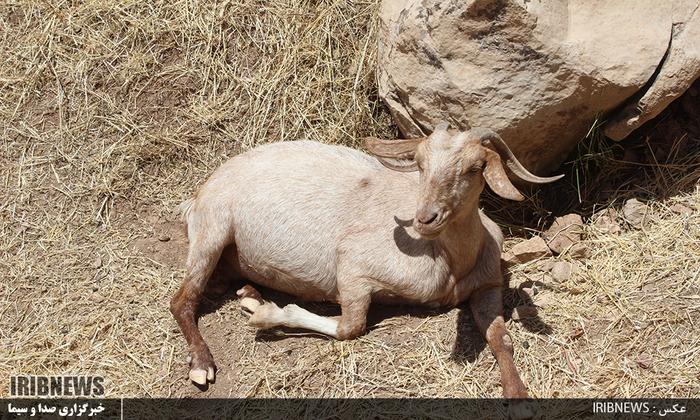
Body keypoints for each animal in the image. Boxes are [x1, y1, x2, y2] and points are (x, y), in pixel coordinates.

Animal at [170, 123, 564, 408]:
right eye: (420, 165)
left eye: (476, 166)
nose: (425, 218)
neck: (448, 260)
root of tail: (197, 194)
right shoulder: (353, 265)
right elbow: (351, 326)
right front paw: (269, 315)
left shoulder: (488, 285)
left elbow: (501, 337)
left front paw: (519, 396)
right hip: (212, 229)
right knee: (181, 300)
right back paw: (203, 364)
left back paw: (250, 294)